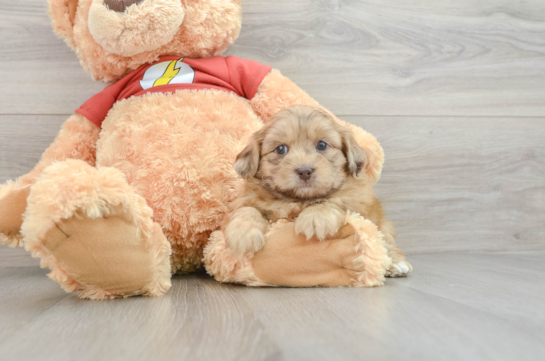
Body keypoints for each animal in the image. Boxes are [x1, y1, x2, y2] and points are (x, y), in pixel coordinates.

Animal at [223, 104, 410, 276]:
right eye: (281, 149)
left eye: (322, 145)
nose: (304, 171)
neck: (298, 199)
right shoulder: (244, 199)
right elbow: (247, 209)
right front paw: (242, 234)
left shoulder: (355, 201)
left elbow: (330, 201)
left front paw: (315, 217)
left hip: (381, 223)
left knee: (385, 239)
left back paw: (397, 264)